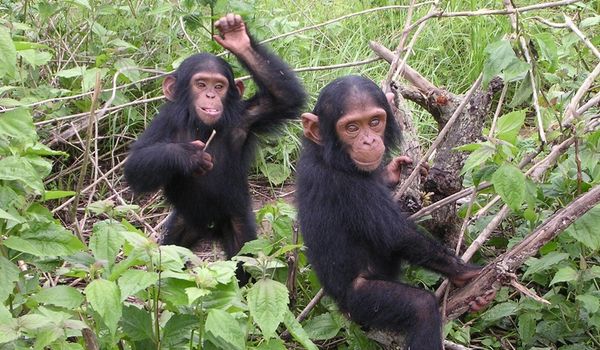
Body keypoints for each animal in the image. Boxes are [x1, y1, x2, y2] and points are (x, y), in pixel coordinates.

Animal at [125, 13, 308, 280]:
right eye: (201, 84)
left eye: (219, 86)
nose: (211, 95)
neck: (202, 126)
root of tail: (209, 228)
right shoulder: (164, 121)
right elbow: (136, 165)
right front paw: (189, 155)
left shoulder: (247, 116)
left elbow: (284, 97)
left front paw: (237, 38)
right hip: (183, 224)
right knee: (168, 259)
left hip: (237, 223)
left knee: (244, 262)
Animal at [298, 76, 494, 350]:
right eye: (351, 128)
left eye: (374, 121)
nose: (369, 141)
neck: (330, 156)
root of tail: (341, 308)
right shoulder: (348, 186)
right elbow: (396, 234)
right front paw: (464, 272)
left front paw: (394, 170)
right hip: (361, 302)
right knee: (420, 308)